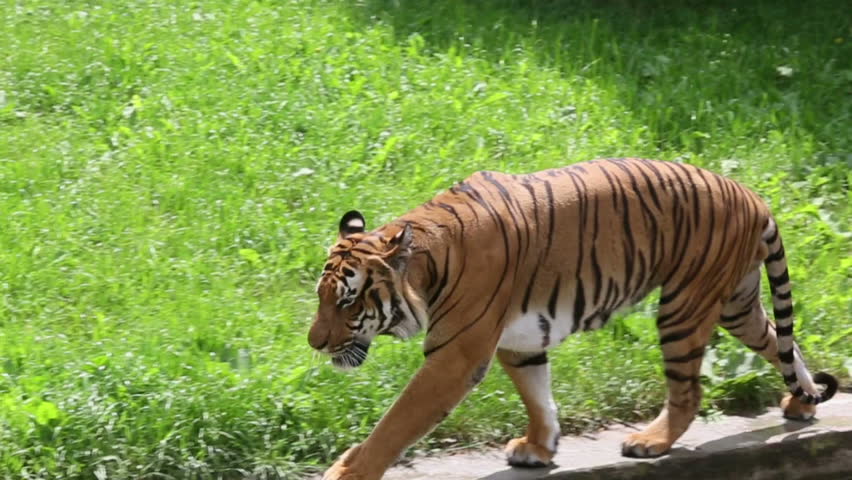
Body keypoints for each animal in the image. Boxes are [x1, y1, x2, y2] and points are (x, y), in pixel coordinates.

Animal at [309, 158, 838, 480]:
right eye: (322, 297)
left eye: (349, 302)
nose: (314, 342)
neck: (429, 263)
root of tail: (753, 196)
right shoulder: (520, 340)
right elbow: (537, 395)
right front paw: (540, 448)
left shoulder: (454, 356)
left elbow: (397, 421)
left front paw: (348, 471)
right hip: (735, 302)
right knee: (781, 341)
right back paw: (802, 402)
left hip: (684, 306)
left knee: (689, 391)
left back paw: (651, 441)